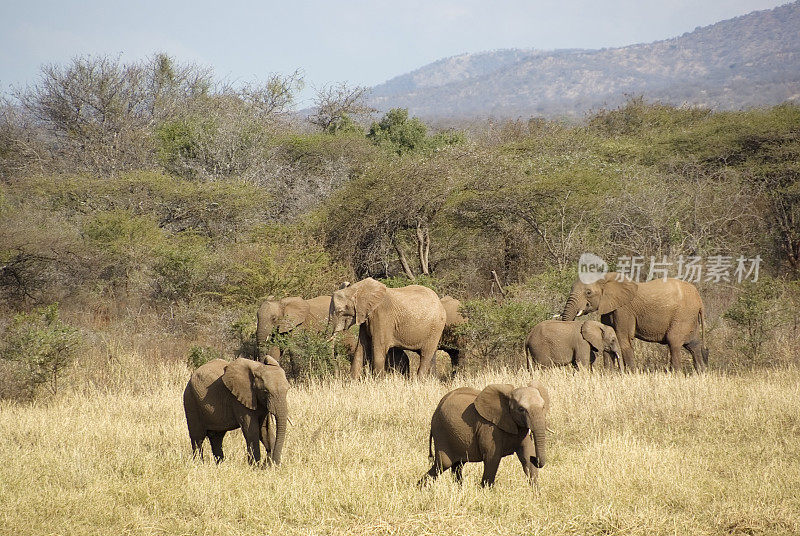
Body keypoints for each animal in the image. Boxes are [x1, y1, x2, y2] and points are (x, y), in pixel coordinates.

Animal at [418, 378, 552, 488]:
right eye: (521, 409)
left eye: (543, 407)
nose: (535, 458)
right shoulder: (489, 428)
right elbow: (492, 458)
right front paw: (486, 492)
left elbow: (526, 456)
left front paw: (536, 494)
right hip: (441, 431)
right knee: (443, 463)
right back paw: (420, 488)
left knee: (457, 465)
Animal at [560, 272, 708, 372]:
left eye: (588, 292)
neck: (606, 279)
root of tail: (700, 300)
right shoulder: (609, 308)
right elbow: (606, 339)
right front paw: (608, 374)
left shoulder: (623, 309)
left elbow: (623, 338)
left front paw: (630, 374)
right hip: (689, 317)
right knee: (693, 345)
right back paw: (701, 373)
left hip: (683, 315)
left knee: (674, 342)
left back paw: (674, 374)